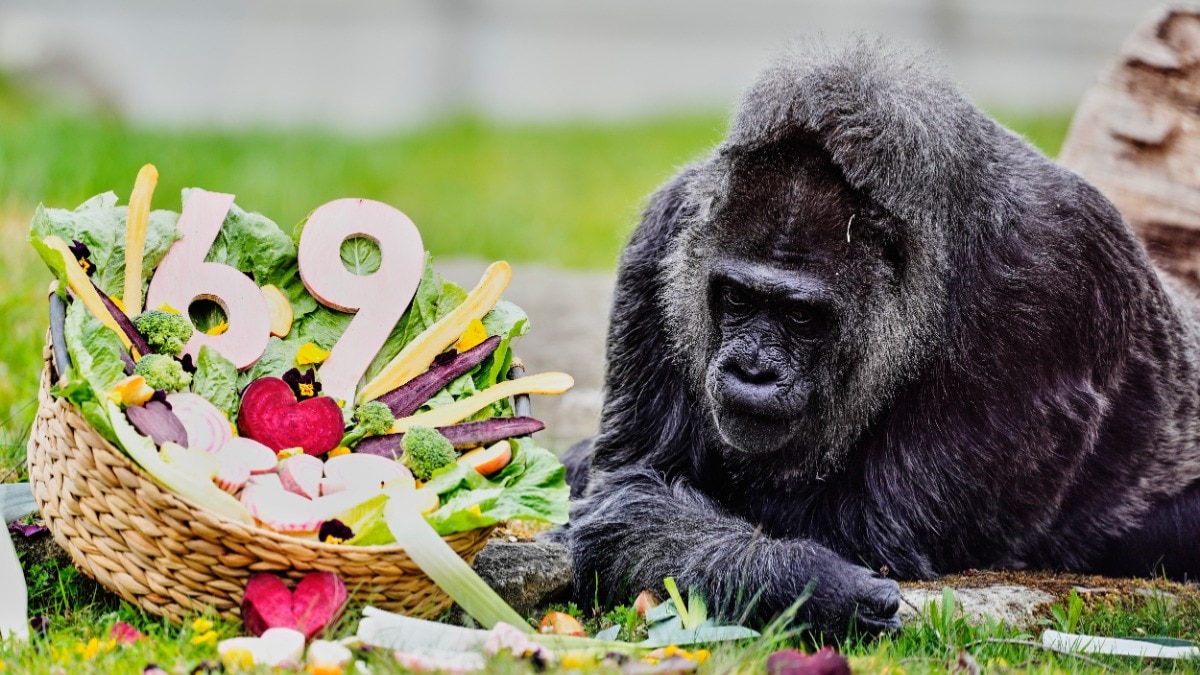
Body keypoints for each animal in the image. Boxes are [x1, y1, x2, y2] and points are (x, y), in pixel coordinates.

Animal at [558, 40, 1200, 638]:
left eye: (801, 318)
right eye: (738, 299)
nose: (752, 371)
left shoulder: (1053, 279)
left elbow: (870, 529)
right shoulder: (664, 233)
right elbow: (632, 486)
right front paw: (797, 578)